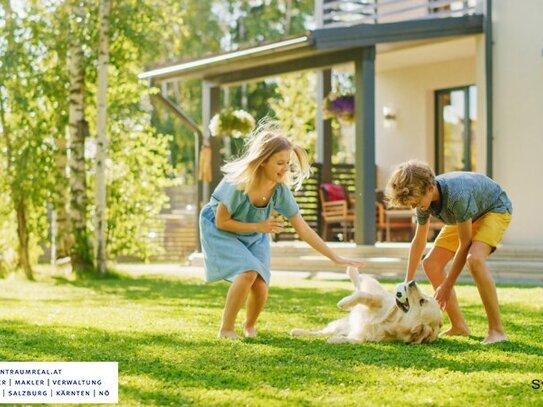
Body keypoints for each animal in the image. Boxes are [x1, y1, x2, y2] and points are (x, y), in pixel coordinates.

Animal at [292, 270, 444, 346]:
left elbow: (355, 340)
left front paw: (337, 340)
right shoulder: (381, 300)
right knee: (319, 332)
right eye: (425, 297)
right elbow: (364, 295)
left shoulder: (366, 335)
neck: (394, 320)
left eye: (422, 301)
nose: (412, 282)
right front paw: (344, 303)